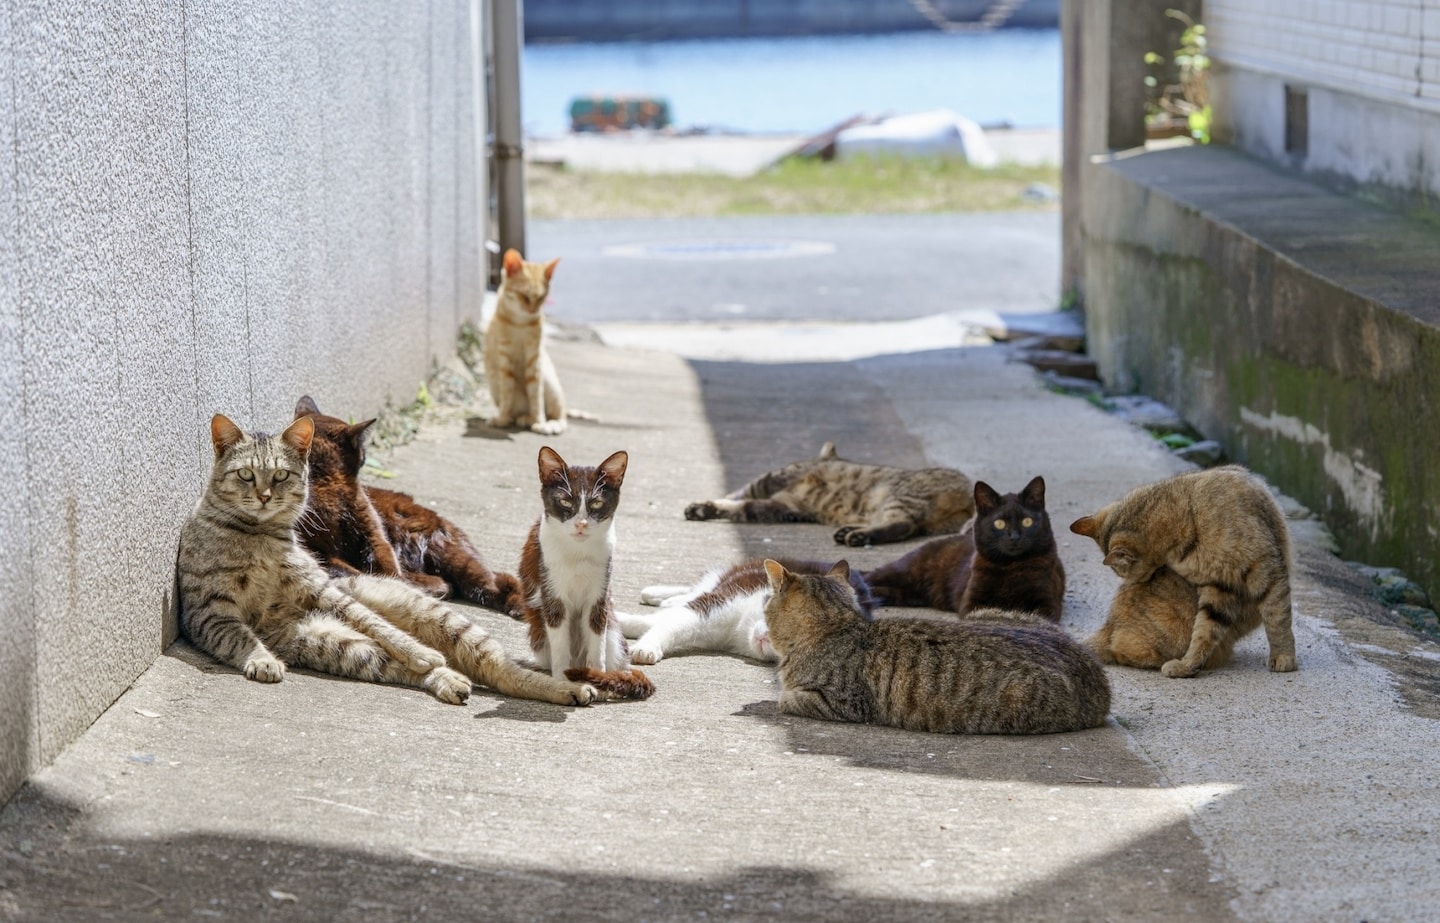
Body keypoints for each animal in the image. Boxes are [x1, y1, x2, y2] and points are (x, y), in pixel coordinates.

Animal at [178, 411, 596, 705]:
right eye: (246, 475)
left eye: (280, 476)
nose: (264, 496)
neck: (258, 535)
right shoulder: (209, 612)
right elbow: (240, 638)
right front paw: (262, 660)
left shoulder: (325, 591)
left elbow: (381, 627)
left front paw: (420, 651)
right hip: (334, 645)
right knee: (411, 664)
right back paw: (450, 680)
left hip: (438, 619)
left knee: (495, 664)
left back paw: (567, 689)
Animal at [486, 247, 570, 434]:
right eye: (523, 296)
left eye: (542, 298)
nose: (532, 310)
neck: (520, 323)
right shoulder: (504, 358)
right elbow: (507, 391)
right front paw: (502, 417)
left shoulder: (535, 358)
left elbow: (535, 394)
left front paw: (539, 421)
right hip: (494, 383)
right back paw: (517, 417)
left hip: (549, 379)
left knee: (561, 415)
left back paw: (546, 423)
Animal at [1071, 466, 1296, 676]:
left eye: (1121, 573)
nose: (1130, 584)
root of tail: (1108, 626)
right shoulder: (1219, 587)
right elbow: (1205, 630)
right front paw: (1188, 665)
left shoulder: (1264, 571)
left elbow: (1277, 619)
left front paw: (1283, 656)